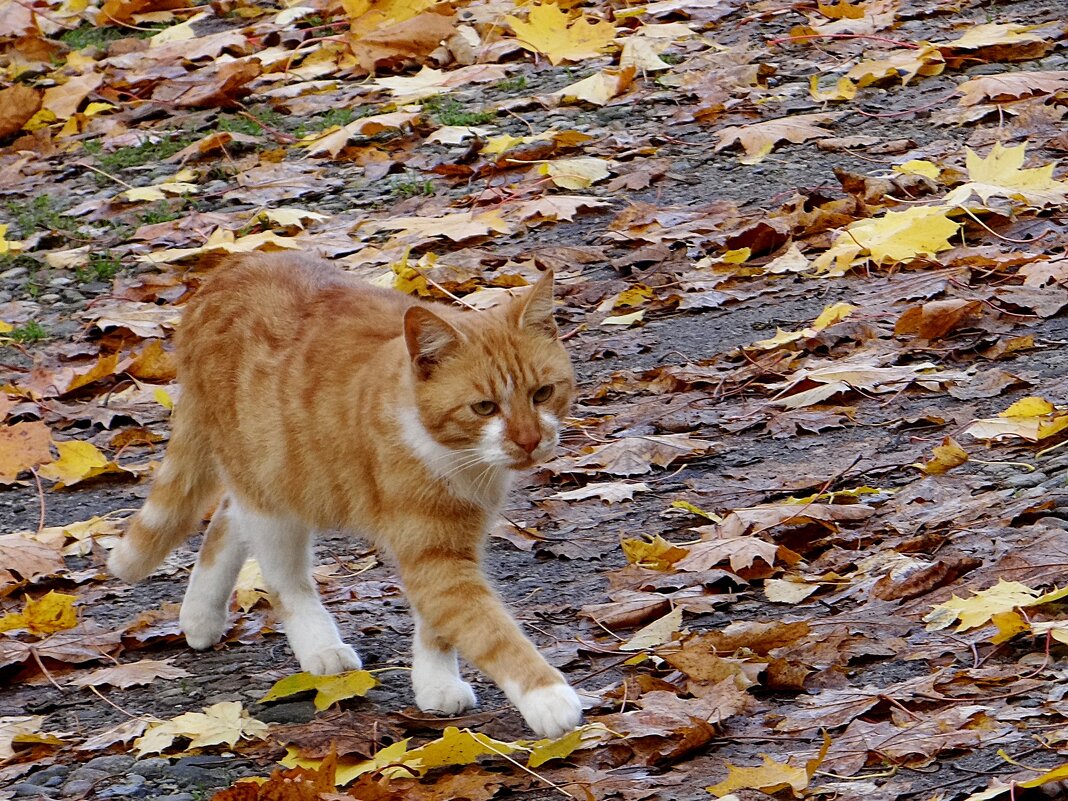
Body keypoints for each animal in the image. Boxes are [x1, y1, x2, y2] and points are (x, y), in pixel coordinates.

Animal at [108, 252, 585, 739]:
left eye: (542, 393)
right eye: (485, 407)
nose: (529, 441)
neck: (461, 460)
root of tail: (228, 271)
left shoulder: (452, 544)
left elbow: (438, 623)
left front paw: (435, 685)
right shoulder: (432, 551)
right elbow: (483, 626)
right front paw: (546, 695)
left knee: (226, 516)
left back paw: (200, 616)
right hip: (274, 494)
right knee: (282, 577)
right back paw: (320, 646)